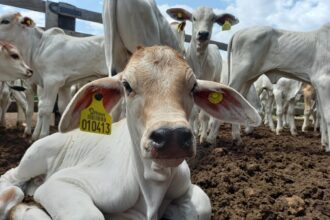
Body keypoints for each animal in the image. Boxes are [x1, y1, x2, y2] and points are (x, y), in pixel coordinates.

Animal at [0, 45, 260, 219]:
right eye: (127, 85)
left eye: (193, 87)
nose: (172, 136)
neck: (152, 187)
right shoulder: (63, 183)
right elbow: (89, 214)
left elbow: (202, 205)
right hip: (36, 155)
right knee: (11, 179)